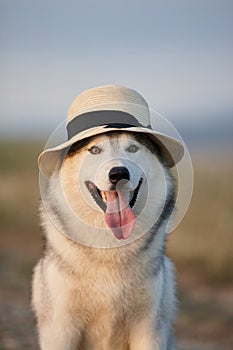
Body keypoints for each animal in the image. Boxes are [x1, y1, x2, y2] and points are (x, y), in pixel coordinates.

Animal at [32, 131, 177, 350]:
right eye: (94, 149)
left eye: (132, 148)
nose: (118, 173)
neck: (110, 245)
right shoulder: (60, 329)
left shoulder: (148, 328)